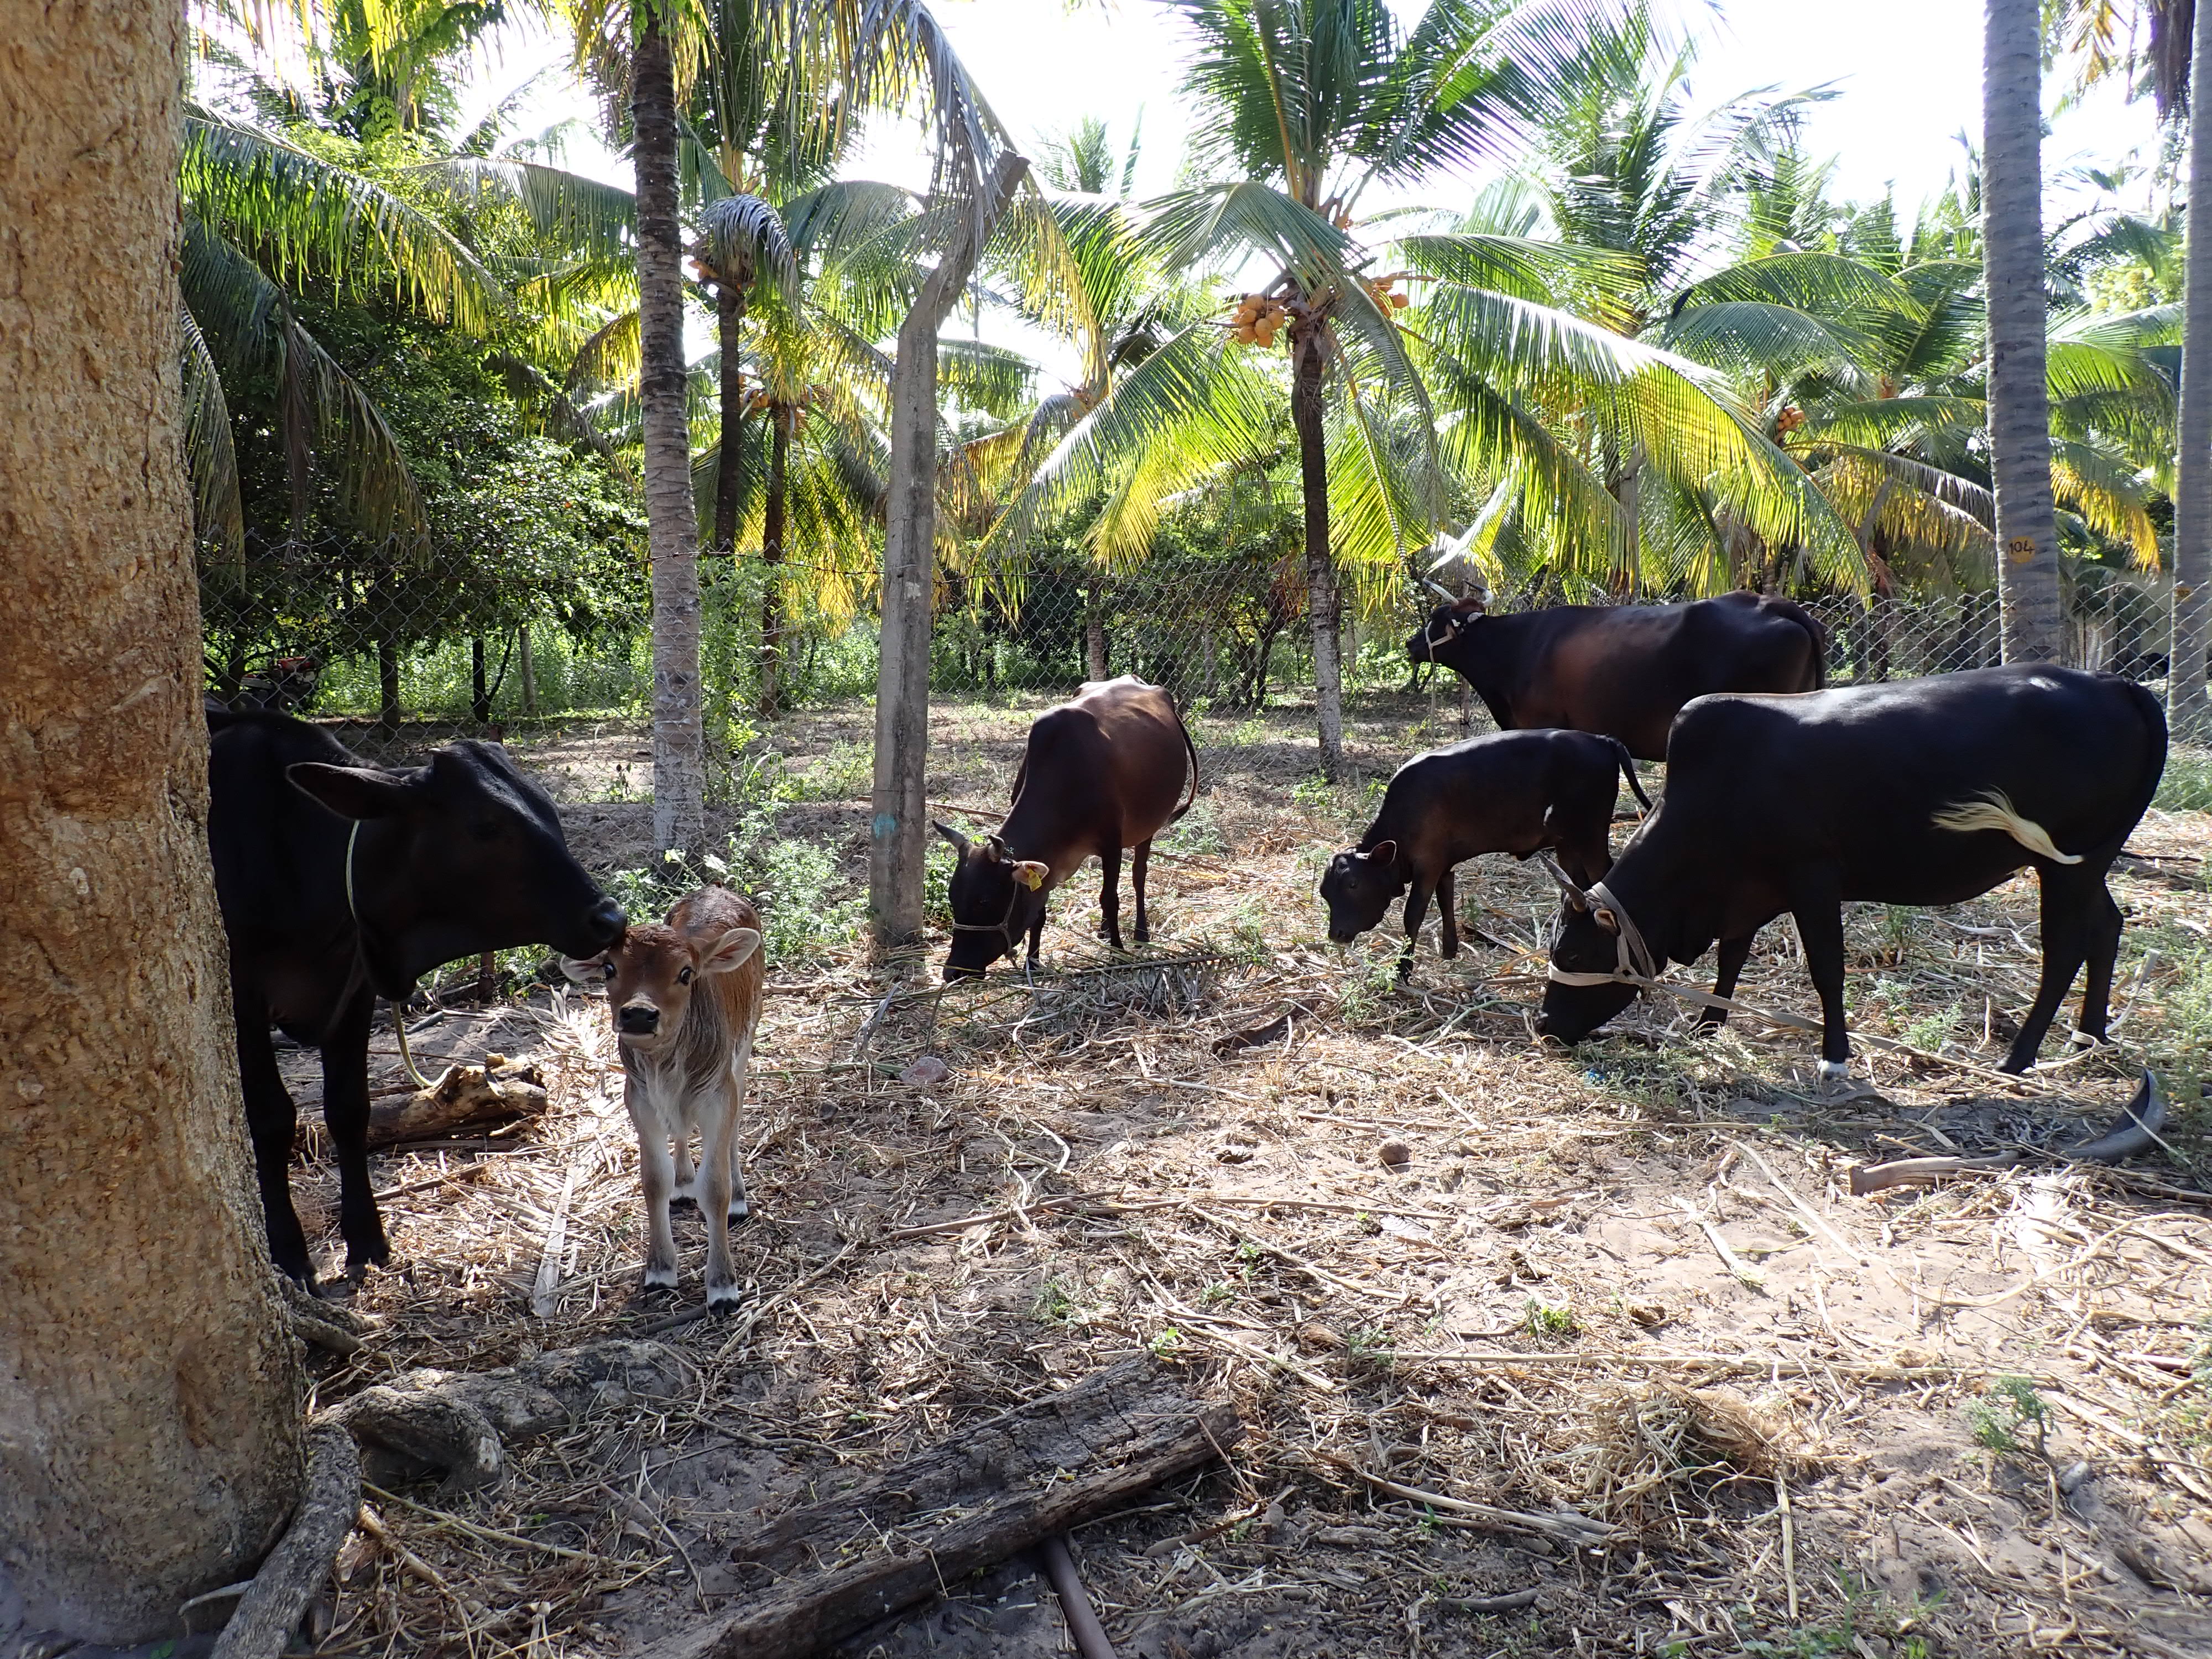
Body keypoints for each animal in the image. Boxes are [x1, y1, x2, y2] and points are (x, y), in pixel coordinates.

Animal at [207, 711, 625, 1285]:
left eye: (550, 811)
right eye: (485, 826)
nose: (610, 918)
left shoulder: (354, 992)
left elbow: (349, 1109)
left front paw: (367, 1239)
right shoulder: (242, 1000)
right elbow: (270, 1119)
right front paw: (289, 1254)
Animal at [583, 887, 764, 1308]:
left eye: (686, 973)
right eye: (609, 969)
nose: (638, 1015)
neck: (667, 1068)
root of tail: (717, 888)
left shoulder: (718, 1095)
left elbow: (714, 1188)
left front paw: (723, 1285)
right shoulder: (640, 1101)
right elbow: (653, 1181)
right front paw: (661, 1270)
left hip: (744, 1048)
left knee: (736, 1122)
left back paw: (739, 1197)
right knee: (680, 1134)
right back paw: (683, 1184)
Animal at [935, 676, 1199, 980]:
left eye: (985, 901)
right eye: (953, 898)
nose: (952, 971)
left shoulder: (1111, 844)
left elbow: (1110, 898)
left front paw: (1117, 953)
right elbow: (1039, 911)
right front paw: (1033, 962)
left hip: (1148, 826)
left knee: (1138, 875)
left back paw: (1140, 933)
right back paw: (1104, 929)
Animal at [1319, 730, 1649, 976]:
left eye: (1353, 885)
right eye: (1324, 893)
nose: (1336, 934)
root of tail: (1601, 739)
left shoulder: (1427, 865)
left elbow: (1413, 915)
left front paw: (1403, 971)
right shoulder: (1444, 865)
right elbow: (1446, 902)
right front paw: (1450, 951)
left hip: (1591, 836)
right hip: (1566, 844)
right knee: (1578, 886)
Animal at [1538, 666, 2168, 1078]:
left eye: (1573, 954)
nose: (1544, 1025)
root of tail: (2114, 684)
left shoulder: (1812, 877)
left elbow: (1827, 969)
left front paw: (1834, 1057)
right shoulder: (1747, 890)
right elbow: (1732, 958)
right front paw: (1708, 1026)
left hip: (2066, 865)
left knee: (2065, 948)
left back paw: (2019, 1058)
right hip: (2089, 863)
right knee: (2107, 928)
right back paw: (2090, 1035)